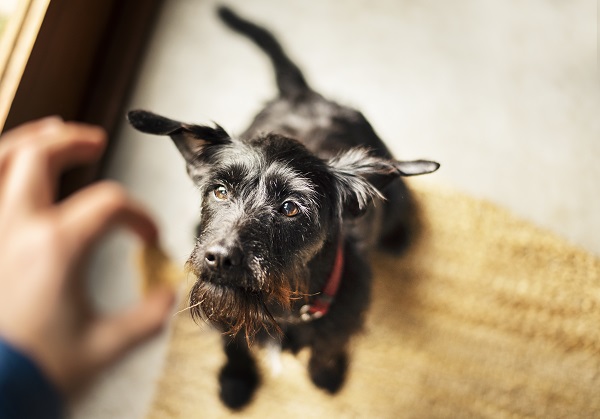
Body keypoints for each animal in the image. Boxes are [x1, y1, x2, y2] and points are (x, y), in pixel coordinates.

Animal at [127, 6, 436, 412]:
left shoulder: (343, 319)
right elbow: (233, 343)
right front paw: (236, 380)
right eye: (221, 191)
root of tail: (305, 95)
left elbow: (328, 346)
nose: (219, 257)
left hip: (396, 190)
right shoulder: (223, 314)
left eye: (290, 208)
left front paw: (326, 375)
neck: (281, 306)